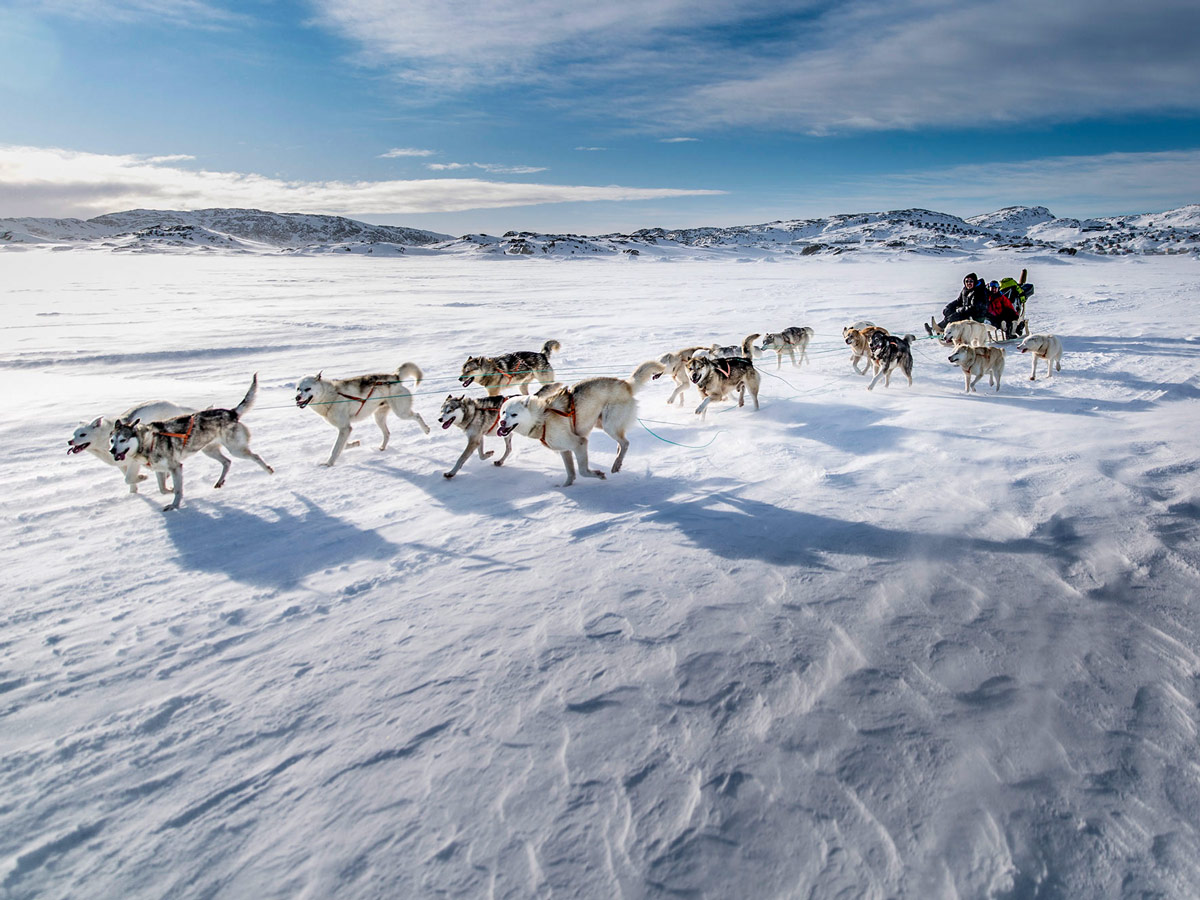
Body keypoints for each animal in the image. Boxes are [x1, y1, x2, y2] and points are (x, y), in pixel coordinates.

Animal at [110, 374, 274, 513]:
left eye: (123, 439)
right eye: (112, 440)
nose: (112, 450)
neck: (147, 441)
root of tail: (231, 412)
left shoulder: (176, 467)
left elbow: (177, 490)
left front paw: (174, 505)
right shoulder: (160, 469)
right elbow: (163, 489)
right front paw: (170, 490)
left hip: (236, 449)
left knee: (255, 456)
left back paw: (268, 470)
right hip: (209, 450)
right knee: (227, 462)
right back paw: (220, 481)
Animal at [295, 362, 432, 468]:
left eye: (307, 389)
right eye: (298, 388)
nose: (297, 398)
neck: (331, 395)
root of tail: (395, 377)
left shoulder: (345, 428)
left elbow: (335, 449)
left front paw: (328, 464)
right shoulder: (345, 428)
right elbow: (342, 445)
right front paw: (354, 444)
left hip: (401, 412)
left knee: (417, 415)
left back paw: (426, 429)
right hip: (378, 418)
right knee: (387, 433)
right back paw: (382, 447)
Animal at [496, 362, 667, 489]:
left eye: (514, 414)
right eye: (503, 412)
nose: (501, 423)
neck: (542, 417)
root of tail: (625, 384)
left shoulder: (579, 443)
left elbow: (583, 471)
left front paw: (598, 475)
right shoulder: (565, 450)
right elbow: (571, 473)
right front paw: (566, 487)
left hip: (609, 426)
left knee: (625, 443)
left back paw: (617, 463)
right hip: (600, 424)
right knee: (621, 443)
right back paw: (617, 462)